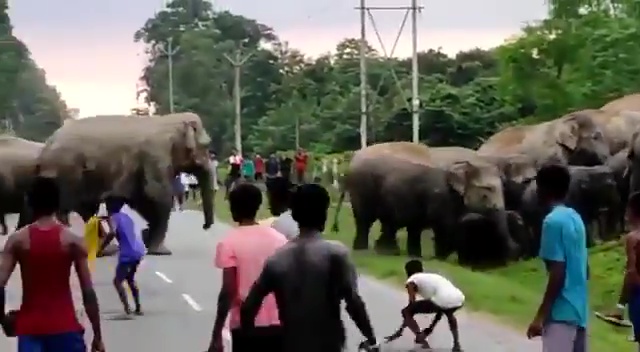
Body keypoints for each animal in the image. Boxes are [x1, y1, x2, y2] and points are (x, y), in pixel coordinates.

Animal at [18, 114, 215, 254]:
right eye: (206, 145)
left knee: (86, 210)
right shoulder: (155, 155)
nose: (205, 227)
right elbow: (157, 195)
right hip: (67, 173)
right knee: (70, 208)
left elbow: (135, 201)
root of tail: (45, 147)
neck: (169, 120)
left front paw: (146, 238)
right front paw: (161, 251)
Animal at [330, 142, 516, 266]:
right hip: (363, 187)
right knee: (365, 220)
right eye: (487, 191)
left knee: (388, 221)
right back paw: (364, 250)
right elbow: (445, 225)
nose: (508, 259)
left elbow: (418, 225)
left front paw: (419, 256)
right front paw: (440, 258)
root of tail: (352, 160)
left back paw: (387, 252)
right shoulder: (440, 194)